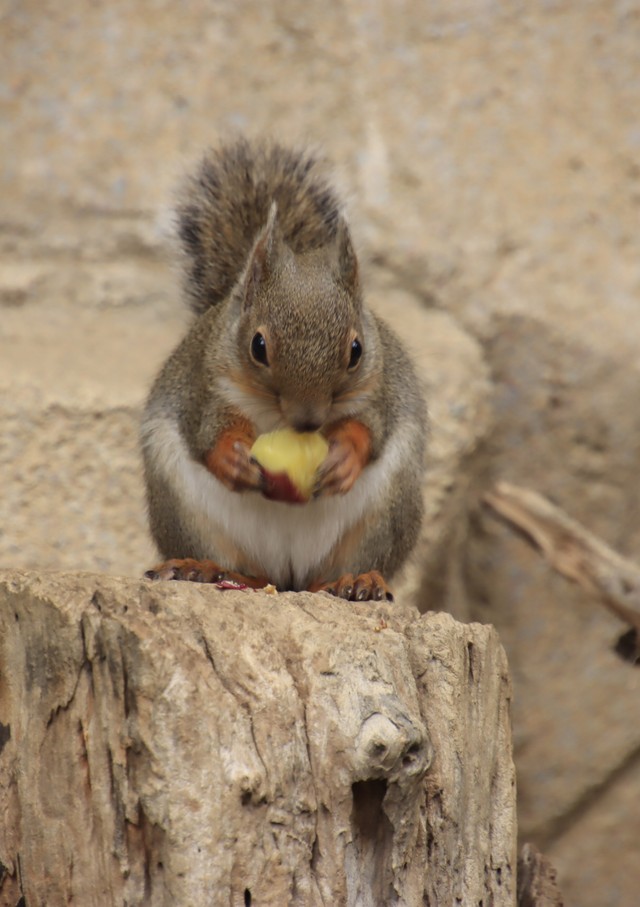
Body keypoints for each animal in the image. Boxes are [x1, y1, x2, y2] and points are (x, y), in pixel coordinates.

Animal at [142, 137, 428, 604]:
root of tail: (290, 578)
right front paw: (232, 459)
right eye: (257, 346)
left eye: (356, 350)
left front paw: (345, 459)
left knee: (340, 570)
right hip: (187, 513)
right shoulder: (204, 388)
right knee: (246, 571)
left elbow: (370, 429)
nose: (308, 420)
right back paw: (203, 569)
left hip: (385, 515)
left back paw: (355, 581)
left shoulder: (378, 392)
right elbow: (207, 432)